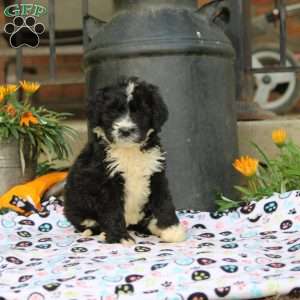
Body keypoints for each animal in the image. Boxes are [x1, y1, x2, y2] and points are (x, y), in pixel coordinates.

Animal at [63, 77, 185, 244]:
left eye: (140, 112)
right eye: (112, 111)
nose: (125, 131)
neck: (129, 151)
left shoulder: (156, 173)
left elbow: (164, 202)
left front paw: (172, 230)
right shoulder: (107, 182)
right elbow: (113, 211)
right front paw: (120, 238)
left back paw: (154, 226)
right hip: (76, 206)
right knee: (87, 223)